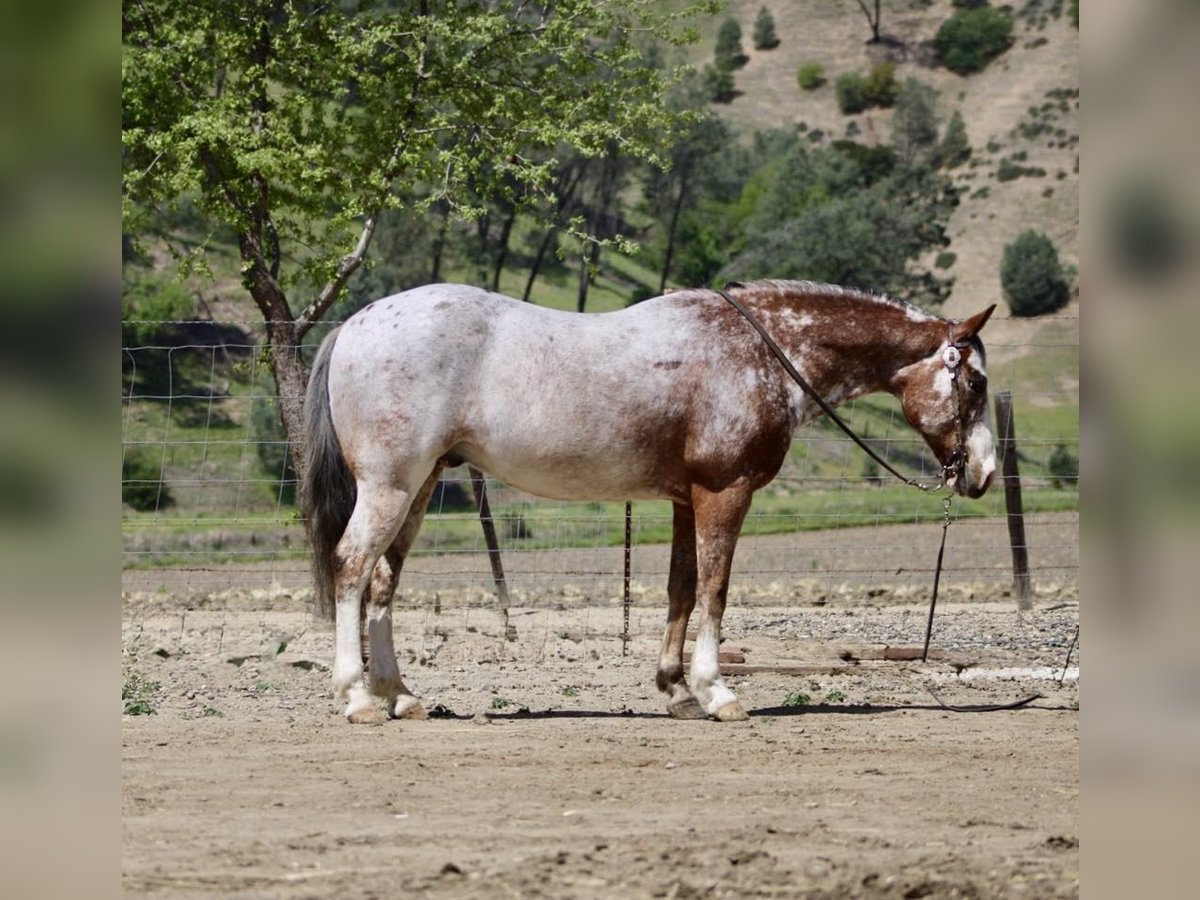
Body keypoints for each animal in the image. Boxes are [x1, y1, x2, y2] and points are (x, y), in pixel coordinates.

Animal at [301, 279, 997, 724]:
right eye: (975, 381)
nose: (985, 472)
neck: (762, 349)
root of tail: (355, 324)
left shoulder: (687, 501)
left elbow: (681, 589)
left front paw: (676, 690)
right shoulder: (724, 492)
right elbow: (715, 589)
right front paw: (717, 693)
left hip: (417, 490)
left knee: (384, 583)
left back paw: (400, 695)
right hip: (390, 487)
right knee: (351, 567)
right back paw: (358, 699)